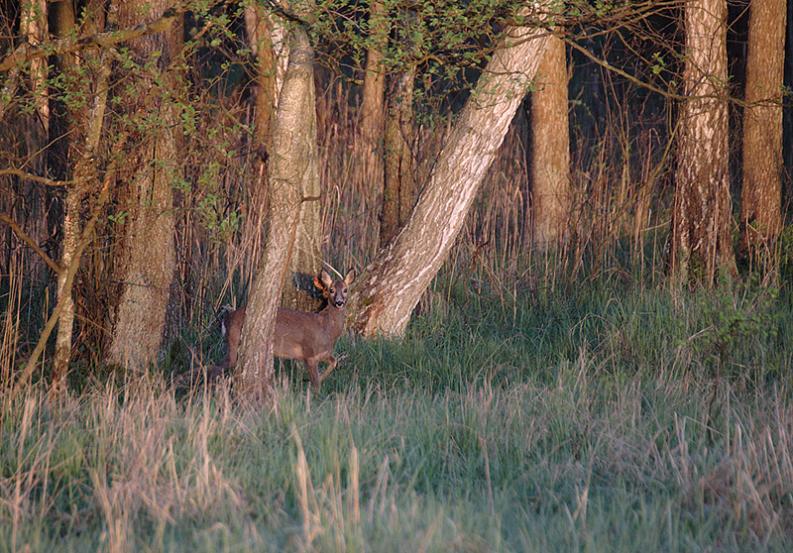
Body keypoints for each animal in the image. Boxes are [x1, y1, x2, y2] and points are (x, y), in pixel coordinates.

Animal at [217, 268, 352, 388]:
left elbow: (333, 362)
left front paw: (306, 380)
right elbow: (316, 383)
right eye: (331, 290)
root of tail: (227, 318)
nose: (339, 302)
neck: (326, 328)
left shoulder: (323, 353)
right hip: (234, 341)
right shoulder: (309, 354)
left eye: (345, 290)